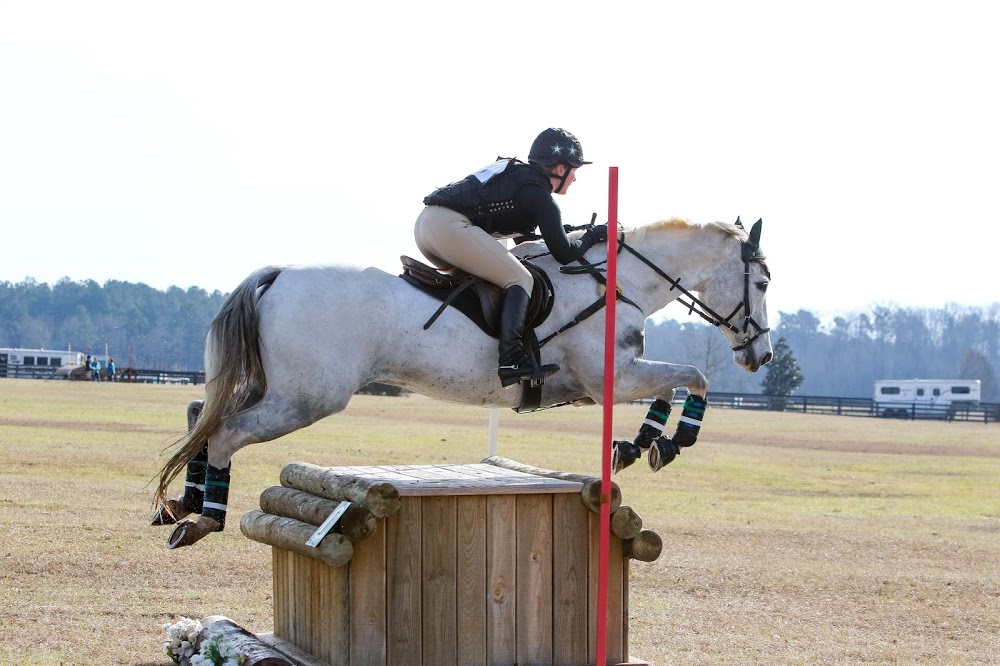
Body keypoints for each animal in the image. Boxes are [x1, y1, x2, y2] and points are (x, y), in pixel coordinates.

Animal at [150, 217, 772, 544]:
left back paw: (180, 503)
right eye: (763, 282)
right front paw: (673, 440)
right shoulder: (608, 381)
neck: (616, 282)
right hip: (307, 397)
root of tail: (277, 274)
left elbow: (674, 386)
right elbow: (694, 377)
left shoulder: (607, 383)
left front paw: (639, 445)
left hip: (281, 389)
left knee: (200, 414)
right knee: (225, 432)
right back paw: (205, 517)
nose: (760, 356)